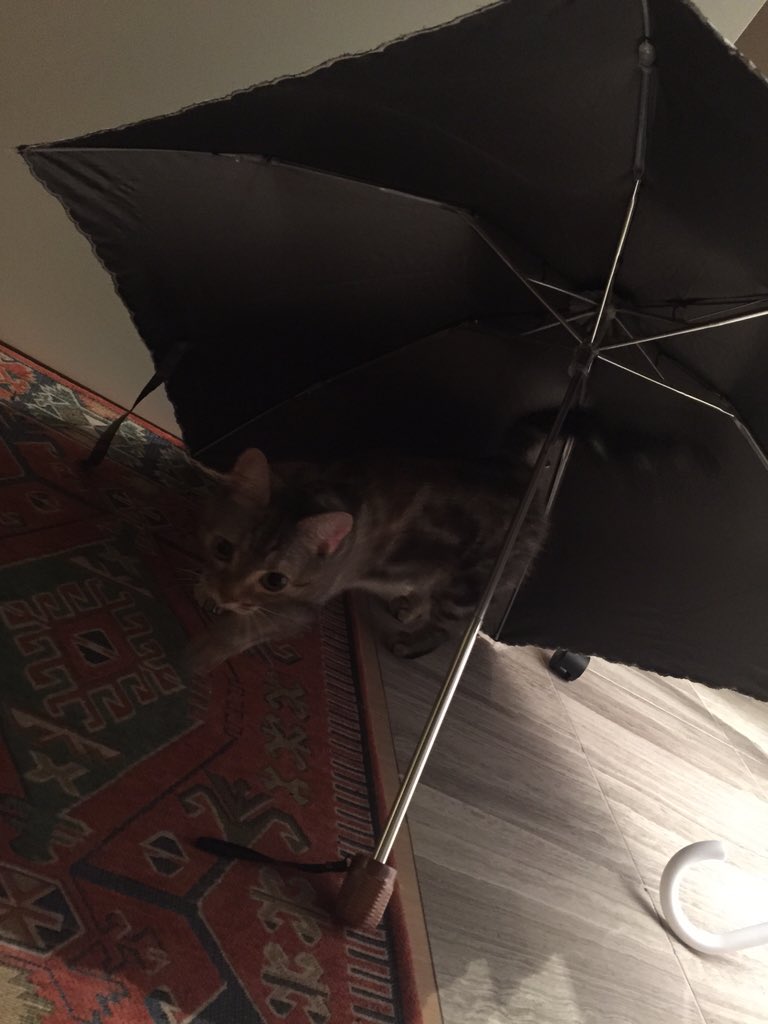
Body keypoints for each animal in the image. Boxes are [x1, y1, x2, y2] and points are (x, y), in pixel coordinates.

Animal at [183, 409, 711, 675]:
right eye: (224, 548)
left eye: (274, 580)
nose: (227, 592)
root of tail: (517, 471)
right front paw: (207, 594)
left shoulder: (298, 607)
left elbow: (242, 631)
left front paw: (200, 654)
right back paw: (406, 606)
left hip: (469, 586)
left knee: (444, 627)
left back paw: (411, 638)